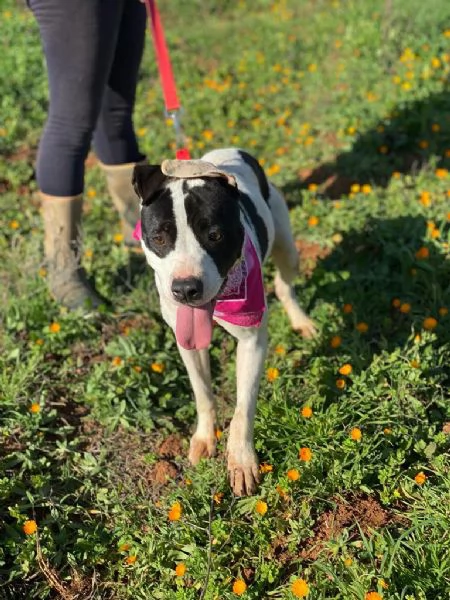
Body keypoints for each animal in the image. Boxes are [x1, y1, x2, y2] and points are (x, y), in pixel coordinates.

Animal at [133, 150, 316, 496]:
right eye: (159, 238)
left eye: (215, 236)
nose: (185, 289)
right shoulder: (187, 344)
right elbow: (203, 392)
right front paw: (205, 438)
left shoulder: (252, 342)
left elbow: (243, 408)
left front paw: (241, 461)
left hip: (287, 247)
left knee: (285, 284)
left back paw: (302, 321)